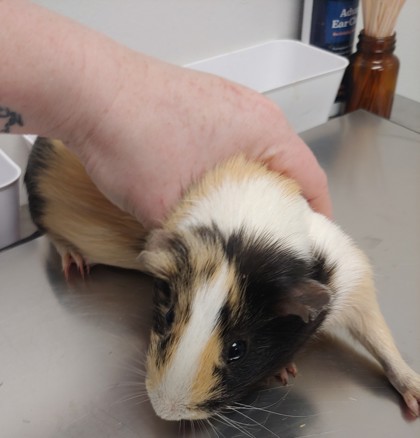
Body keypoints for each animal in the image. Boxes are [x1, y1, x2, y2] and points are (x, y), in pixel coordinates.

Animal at [25, 137, 420, 421]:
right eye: (168, 318)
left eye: (236, 349)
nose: (166, 411)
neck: (244, 236)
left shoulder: (353, 279)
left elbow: (381, 341)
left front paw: (414, 397)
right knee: (54, 241)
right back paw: (75, 264)